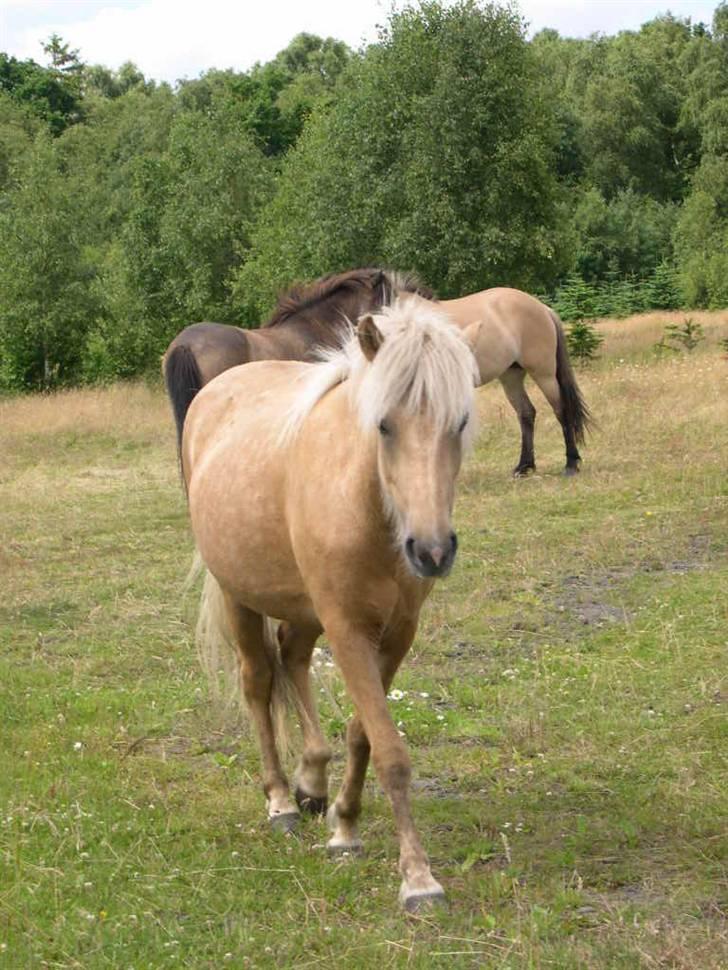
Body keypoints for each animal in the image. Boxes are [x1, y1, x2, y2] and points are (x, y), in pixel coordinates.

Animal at [164, 270, 584, 474]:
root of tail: (539, 306)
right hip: (513, 374)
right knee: (529, 414)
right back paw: (527, 466)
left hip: (538, 371)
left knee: (557, 411)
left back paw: (569, 463)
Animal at [181, 294, 478, 908]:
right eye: (384, 424)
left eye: (460, 422)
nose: (431, 550)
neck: (367, 506)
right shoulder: (347, 629)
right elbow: (390, 752)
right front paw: (418, 878)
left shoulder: (397, 633)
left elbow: (364, 734)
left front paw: (345, 826)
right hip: (239, 597)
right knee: (257, 682)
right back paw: (281, 801)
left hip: (303, 609)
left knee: (292, 658)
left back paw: (312, 781)